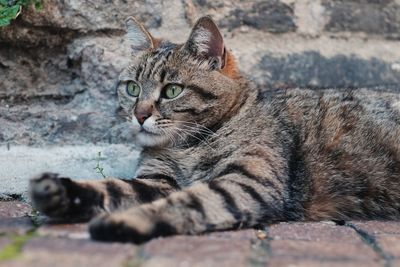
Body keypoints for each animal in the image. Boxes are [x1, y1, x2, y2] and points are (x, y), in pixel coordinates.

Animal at [28, 15, 400, 244]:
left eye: (172, 91)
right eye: (132, 88)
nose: (139, 115)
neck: (186, 147)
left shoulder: (246, 181)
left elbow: (188, 202)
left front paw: (123, 222)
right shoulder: (157, 182)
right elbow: (110, 188)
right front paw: (60, 192)